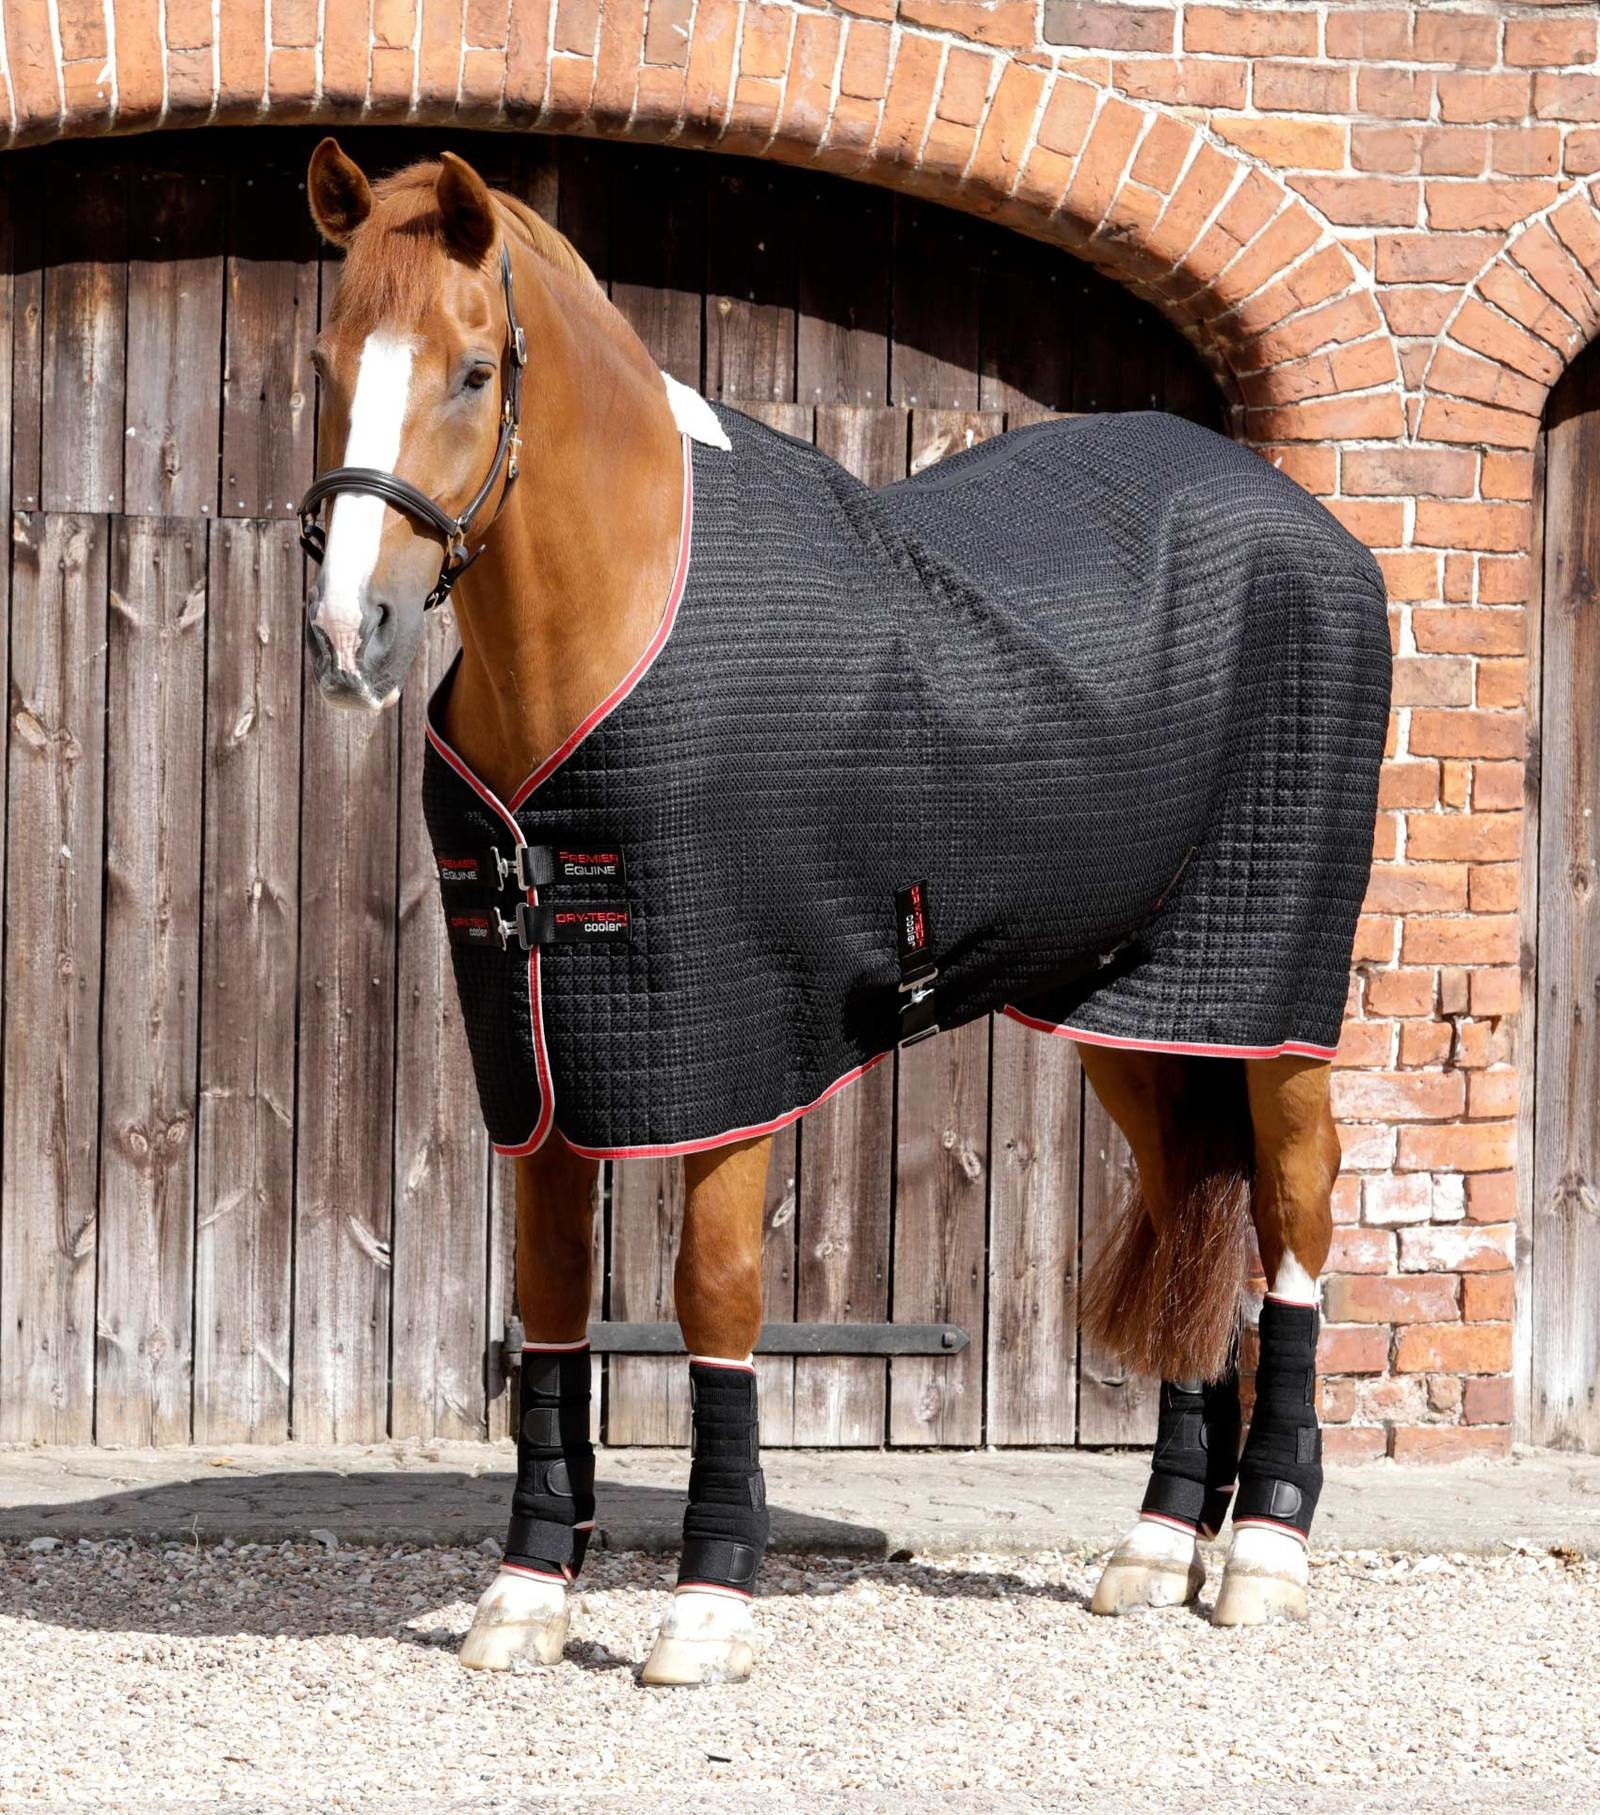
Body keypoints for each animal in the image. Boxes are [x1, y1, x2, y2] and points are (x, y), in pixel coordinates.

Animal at [297, 138, 1389, 1685]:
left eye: (471, 370)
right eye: (328, 360)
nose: (352, 636)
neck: (617, 625)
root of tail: (1317, 534)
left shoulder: (731, 1052)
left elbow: (713, 1297)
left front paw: (706, 1603)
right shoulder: (548, 1059)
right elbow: (554, 1298)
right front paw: (524, 1592)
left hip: (1272, 998)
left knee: (1295, 1221)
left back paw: (1268, 1554)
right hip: (1132, 1015)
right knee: (1193, 1206)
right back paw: (1155, 1544)